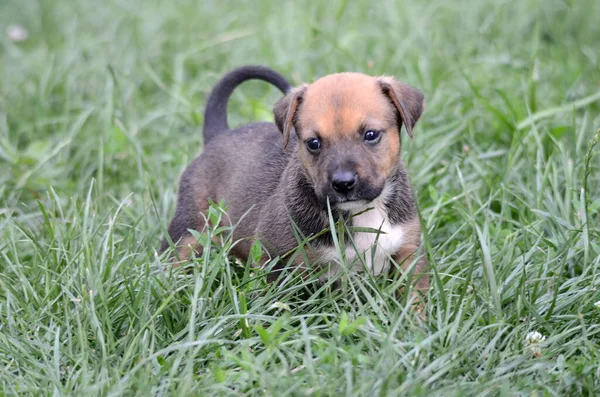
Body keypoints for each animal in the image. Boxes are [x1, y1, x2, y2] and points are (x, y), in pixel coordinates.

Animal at [162, 63, 428, 290]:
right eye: (313, 143)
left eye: (371, 135)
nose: (343, 184)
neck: (361, 211)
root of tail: (217, 136)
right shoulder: (274, 259)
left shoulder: (409, 253)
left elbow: (414, 297)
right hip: (188, 229)